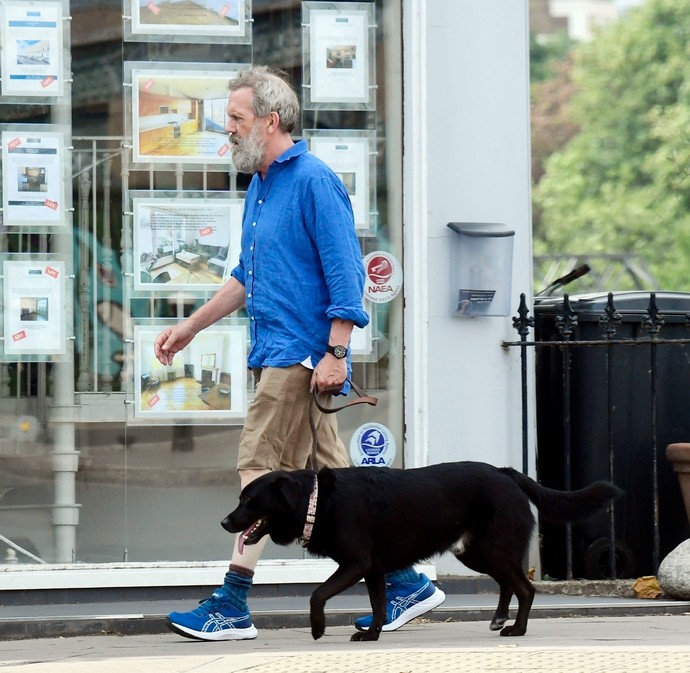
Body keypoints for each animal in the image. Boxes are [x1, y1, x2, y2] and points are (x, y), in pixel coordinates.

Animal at [223, 462, 620, 640]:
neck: (318, 501)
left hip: (492, 549)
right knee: (510, 583)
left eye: (249, 500)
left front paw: (318, 628)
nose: (225, 522)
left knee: (526, 587)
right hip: (476, 553)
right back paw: (498, 619)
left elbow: (317, 594)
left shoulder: (356, 564)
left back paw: (516, 629)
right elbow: (378, 605)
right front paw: (372, 634)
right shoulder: (373, 569)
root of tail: (506, 472)